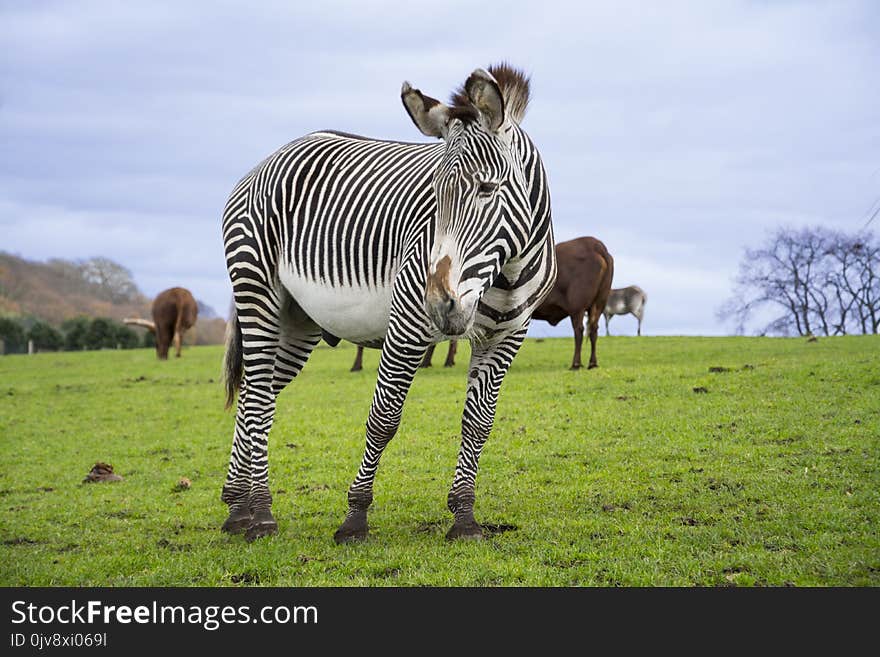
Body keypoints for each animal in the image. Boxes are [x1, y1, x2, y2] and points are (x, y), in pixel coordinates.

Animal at [220, 64, 556, 540]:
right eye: (434, 194)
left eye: (488, 189)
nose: (439, 304)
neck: (504, 271)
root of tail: (272, 156)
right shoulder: (408, 325)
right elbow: (384, 419)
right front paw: (355, 517)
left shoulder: (508, 333)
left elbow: (478, 424)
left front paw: (464, 517)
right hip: (257, 291)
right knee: (259, 401)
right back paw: (262, 514)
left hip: (297, 320)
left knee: (253, 391)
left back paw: (238, 508)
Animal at [528, 236, 612, 368]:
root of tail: (596, 245)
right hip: (599, 303)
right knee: (593, 330)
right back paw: (592, 363)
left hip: (577, 306)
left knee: (579, 330)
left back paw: (576, 363)